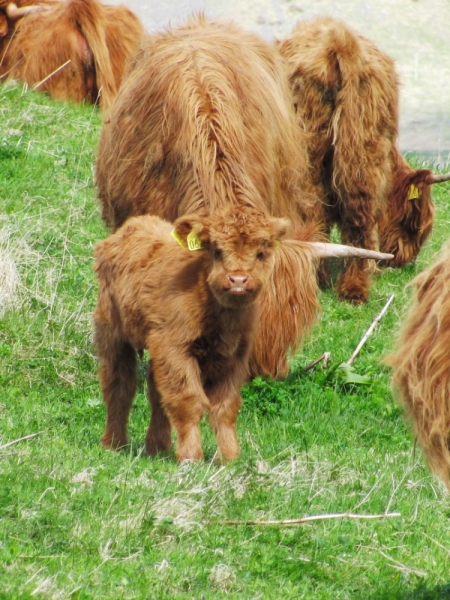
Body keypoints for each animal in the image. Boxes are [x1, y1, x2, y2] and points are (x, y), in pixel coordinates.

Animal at [94, 204, 292, 462]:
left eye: (261, 253)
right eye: (216, 251)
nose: (238, 280)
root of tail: (133, 225)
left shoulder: (235, 356)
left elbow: (225, 407)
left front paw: (230, 457)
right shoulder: (175, 348)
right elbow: (188, 401)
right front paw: (191, 456)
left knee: (155, 391)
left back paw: (158, 447)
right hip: (111, 333)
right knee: (119, 386)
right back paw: (114, 444)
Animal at [278, 15, 450, 304]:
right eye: (412, 225)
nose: (404, 261)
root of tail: (341, 43)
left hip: (309, 148)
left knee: (316, 211)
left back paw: (322, 278)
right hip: (365, 144)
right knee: (361, 216)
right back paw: (355, 286)